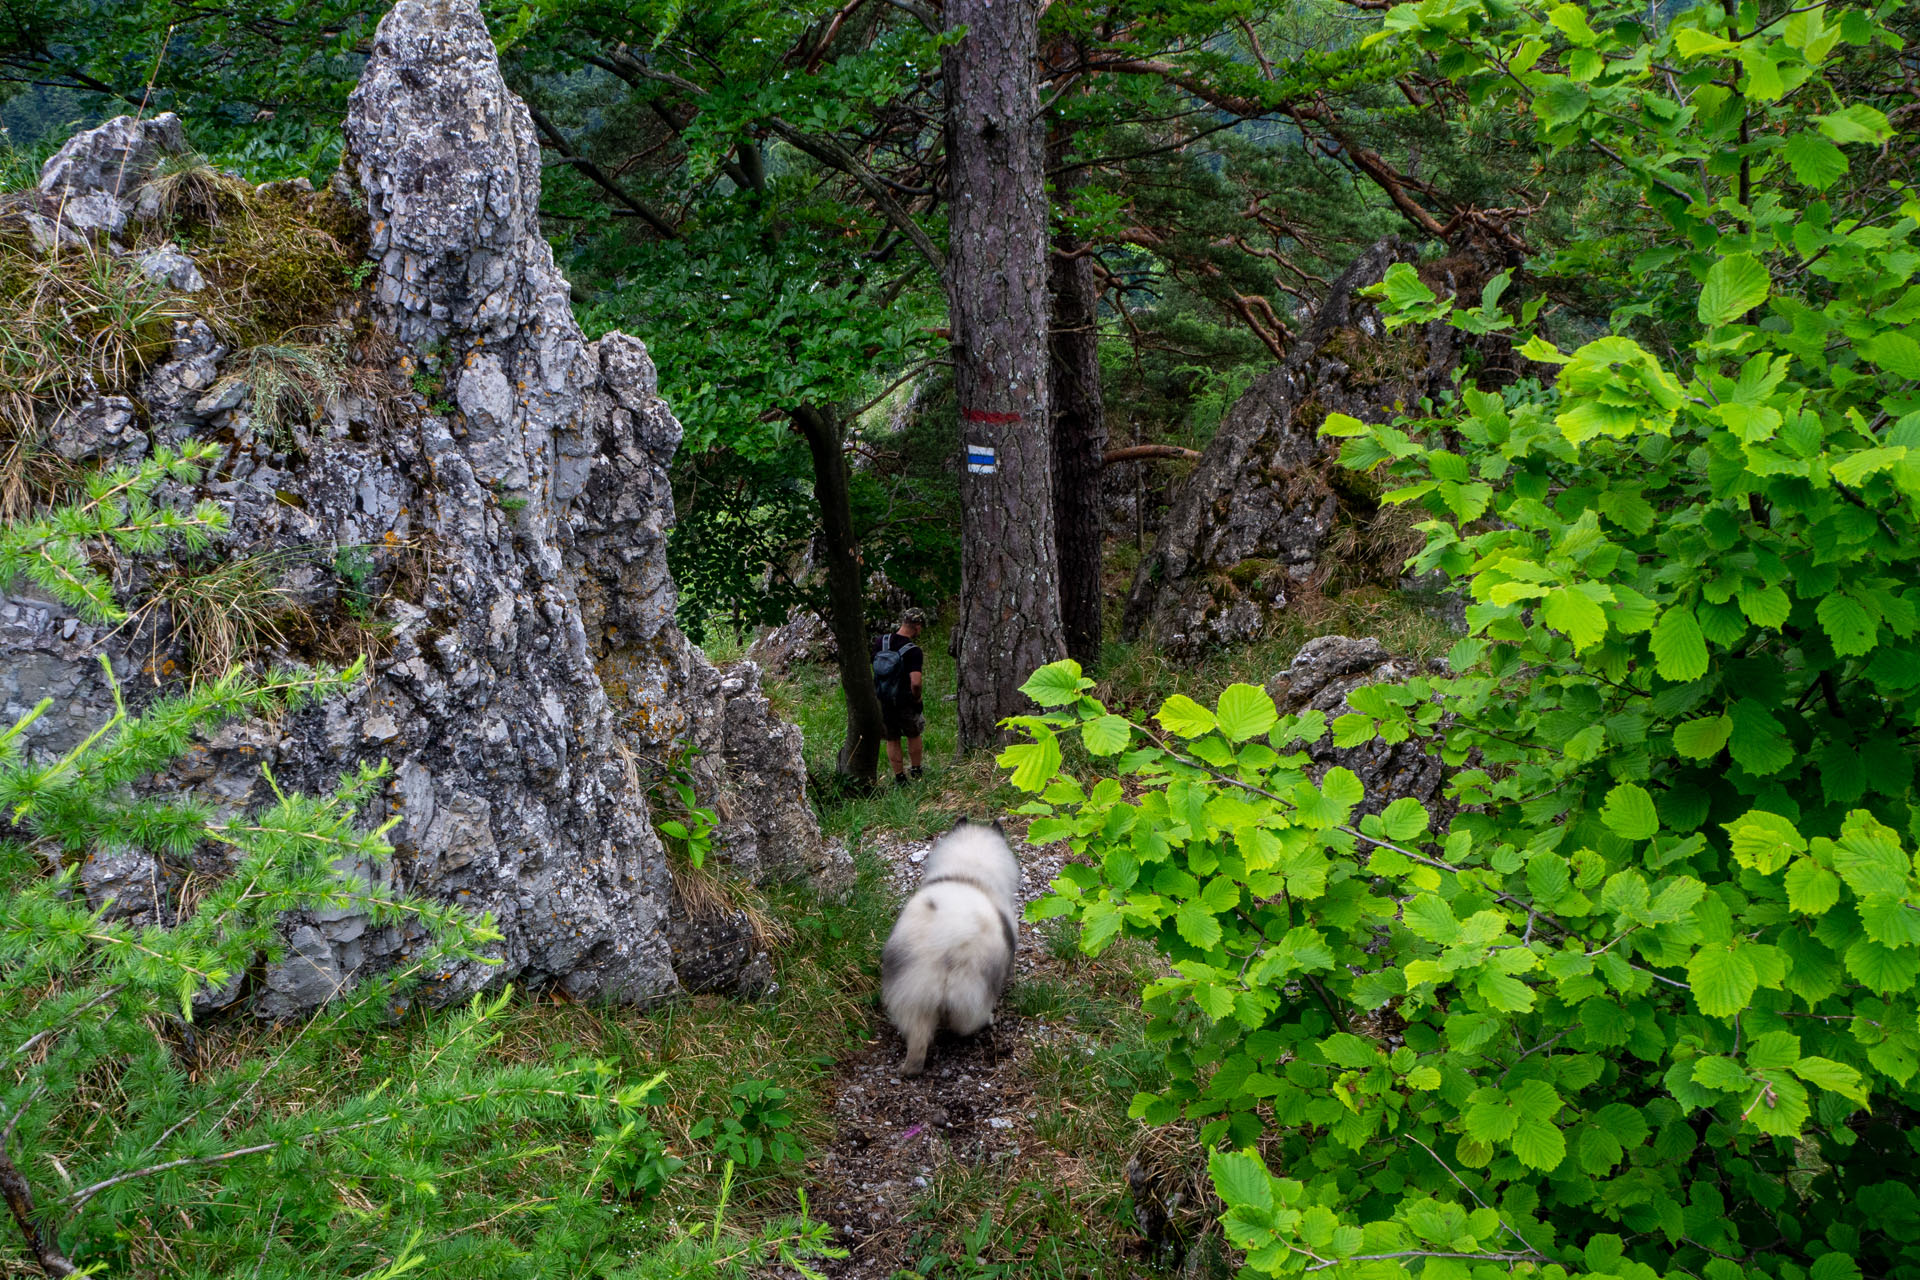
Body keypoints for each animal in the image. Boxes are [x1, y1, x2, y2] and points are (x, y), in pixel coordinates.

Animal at [879, 821, 1021, 1074]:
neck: (969, 871)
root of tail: (944, 941)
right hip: (973, 990)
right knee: (966, 1023)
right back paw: (986, 1021)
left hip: (909, 994)